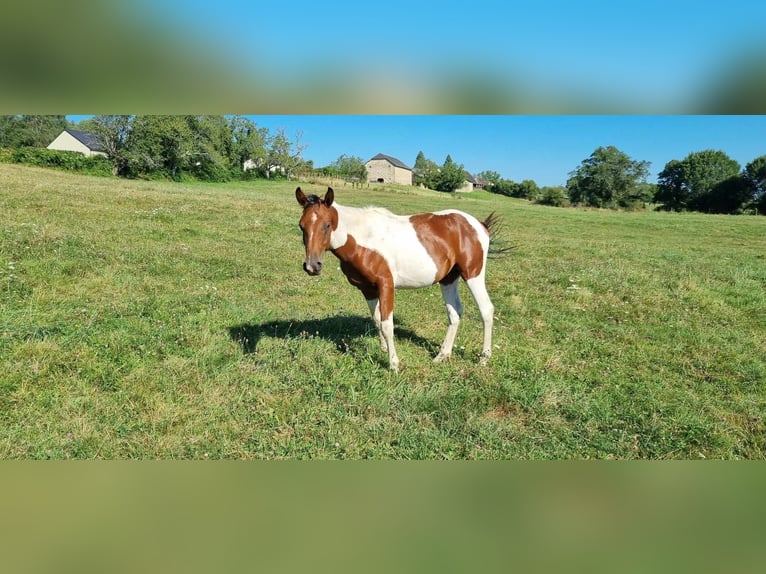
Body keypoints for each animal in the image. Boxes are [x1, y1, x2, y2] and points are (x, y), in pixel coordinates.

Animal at [294, 186, 498, 374]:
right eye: (301, 226)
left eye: (327, 225)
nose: (312, 266)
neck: (365, 238)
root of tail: (479, 224)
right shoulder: (367, 289)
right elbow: (377, 319)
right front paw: (384, 349)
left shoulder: (386, 285)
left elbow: (387, 324)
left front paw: (393, 364)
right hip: (448, 279)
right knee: (455, 313)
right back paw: (442, 355)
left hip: (473, 274)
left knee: (486, 310)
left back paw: (484, 358)